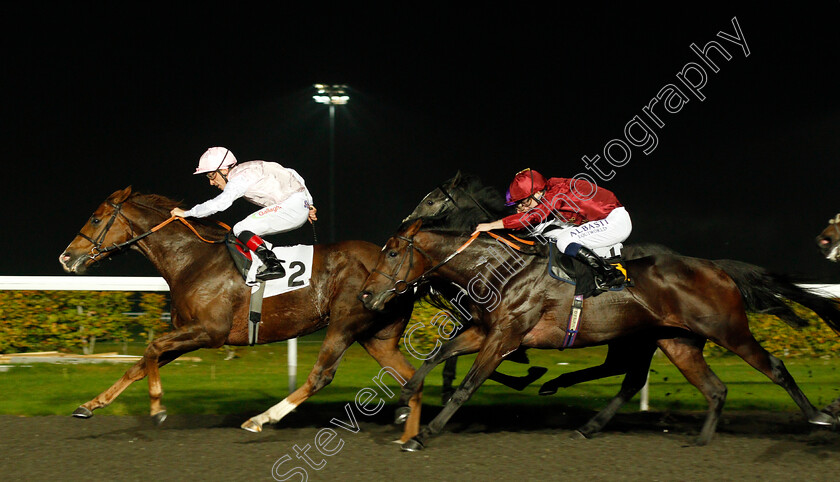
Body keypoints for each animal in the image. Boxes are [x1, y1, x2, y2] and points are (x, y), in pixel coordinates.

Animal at [60, 186, 424, 442]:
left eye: (95, 218)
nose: (66, 257)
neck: (193, 259)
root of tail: (403, 270)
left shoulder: (210, 331)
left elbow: (151, 348)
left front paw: (157, 409)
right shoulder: (190, 332)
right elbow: (139, 364)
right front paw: (89, 406)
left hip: (344, 324)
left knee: (321, 376)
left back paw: (261, 419)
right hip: (376, 336)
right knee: (410, 375)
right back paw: (409, 430)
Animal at [358, 190, 836, 450]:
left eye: (393, 252)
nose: (366, 295)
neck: (499, 268)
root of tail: (714, 266)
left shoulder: (505, 338)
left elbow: (467, 386)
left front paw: (424, 434)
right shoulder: (485, 330)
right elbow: (437, 355)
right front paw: (405, 400)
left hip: (727, 330)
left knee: (774, 367)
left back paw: (819, 419)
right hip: (676, 341)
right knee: (708, 388)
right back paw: (693, 438)